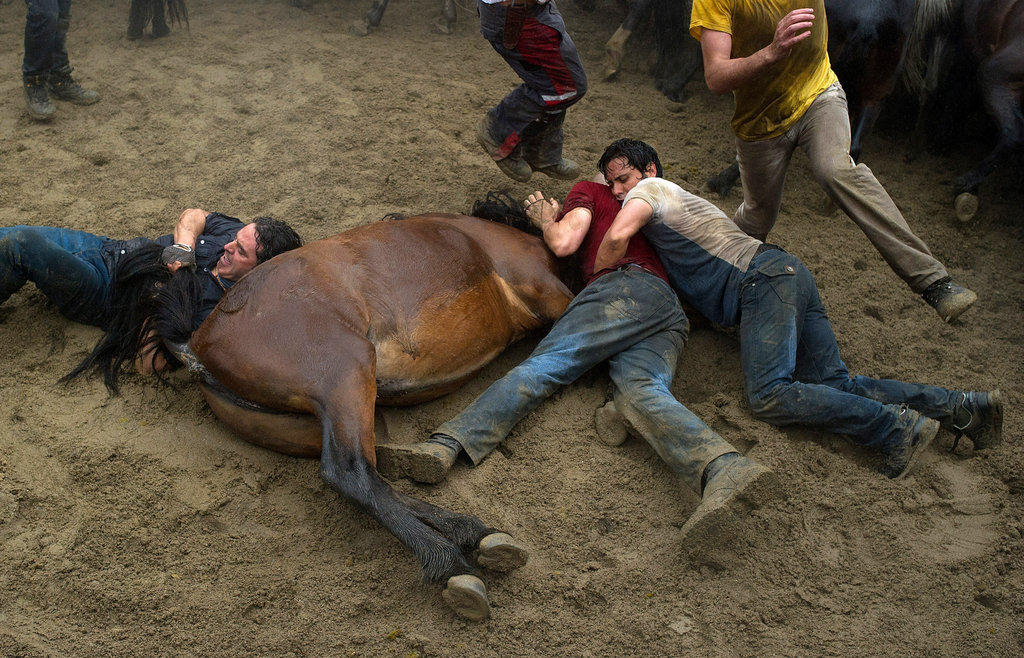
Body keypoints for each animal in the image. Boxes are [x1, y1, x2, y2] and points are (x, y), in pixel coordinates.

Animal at [74, 196, 577, 622]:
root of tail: (196, 345)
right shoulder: (549, 291)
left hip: (322, 416)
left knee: (373, 475)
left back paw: (474, 534)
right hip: (347, 372)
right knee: (351, 473)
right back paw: (453, 562)